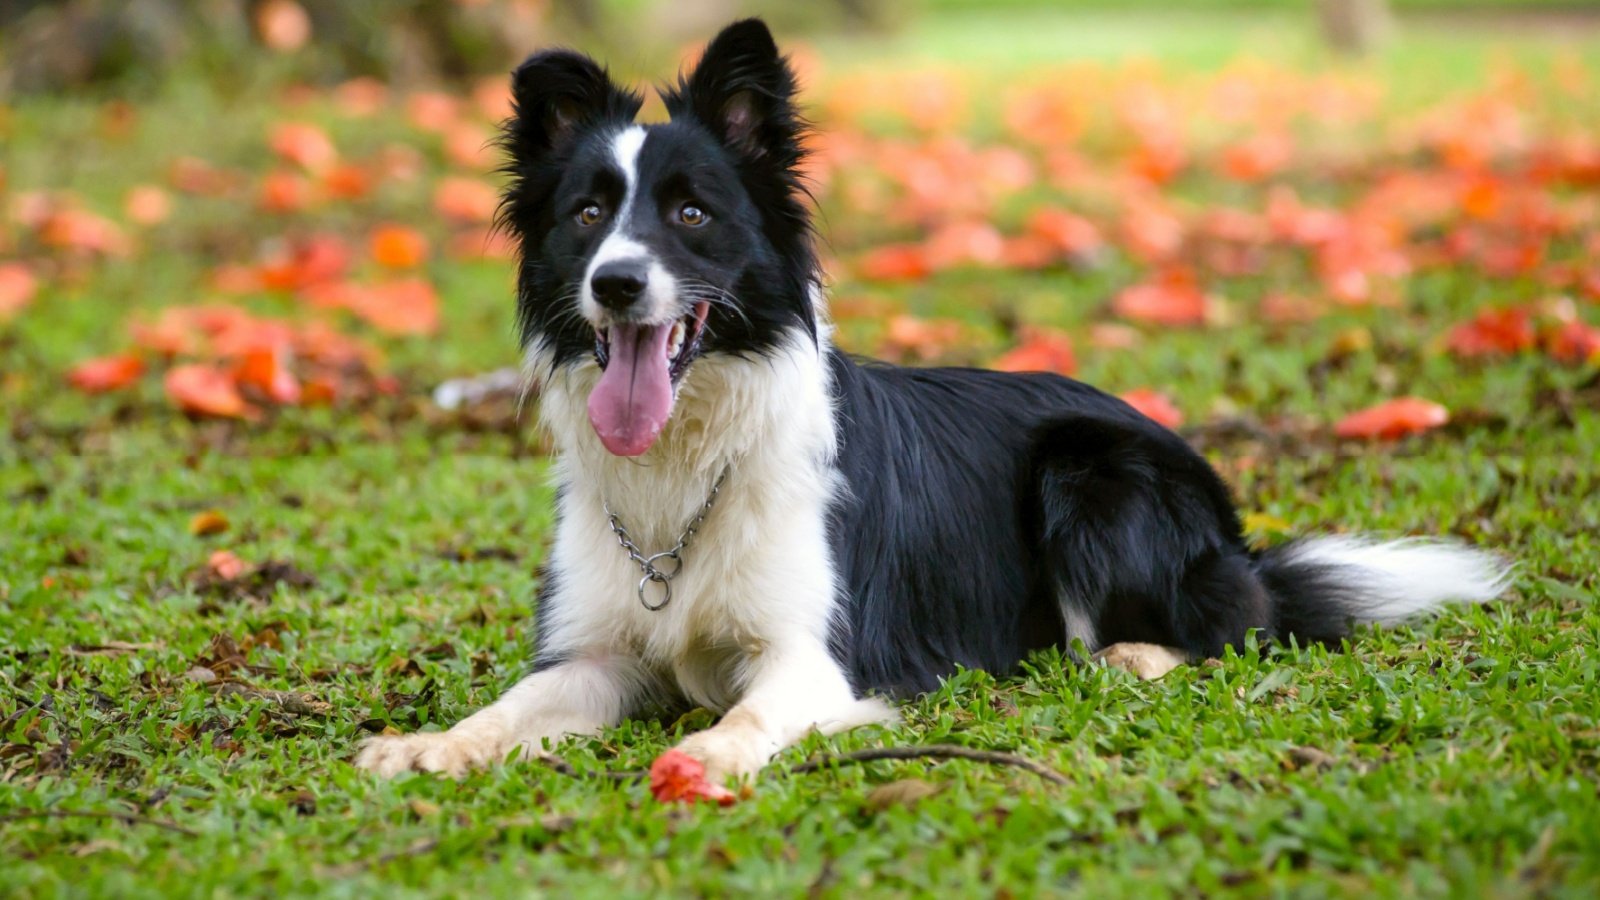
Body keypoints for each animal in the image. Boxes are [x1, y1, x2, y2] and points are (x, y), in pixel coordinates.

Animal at [353, 19, 1510, 778]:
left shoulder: (816, 658)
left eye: (689, 212)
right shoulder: (596, 653)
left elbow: (744, 720)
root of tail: (1231, 528)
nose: (618, 285)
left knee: (1229, 626)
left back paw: (1128, 654)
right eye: (589, 215)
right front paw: (429, 745)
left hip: (1090, 471)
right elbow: (513, 704)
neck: (690, 461)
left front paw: (706, 759)